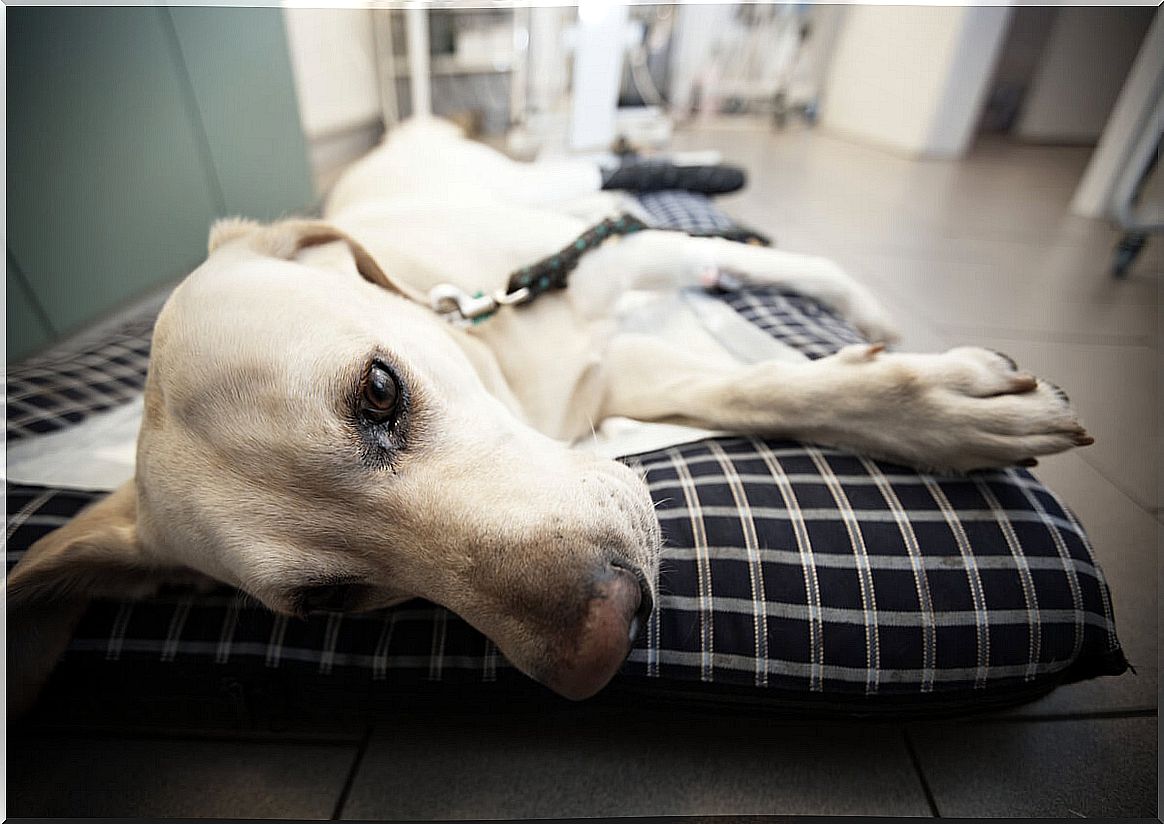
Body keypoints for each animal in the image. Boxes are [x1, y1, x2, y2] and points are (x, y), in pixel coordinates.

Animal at [6, 119, 1089, 712]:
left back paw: (709, 178)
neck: (499, 347)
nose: (604, 642)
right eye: (328, 604)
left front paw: (908, 358)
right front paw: (931, 407)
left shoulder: (621, 262)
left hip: (551, 194)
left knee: (610, 171)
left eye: (379, 390)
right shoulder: (610, 377)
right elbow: (758, 388)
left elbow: (772, 282)